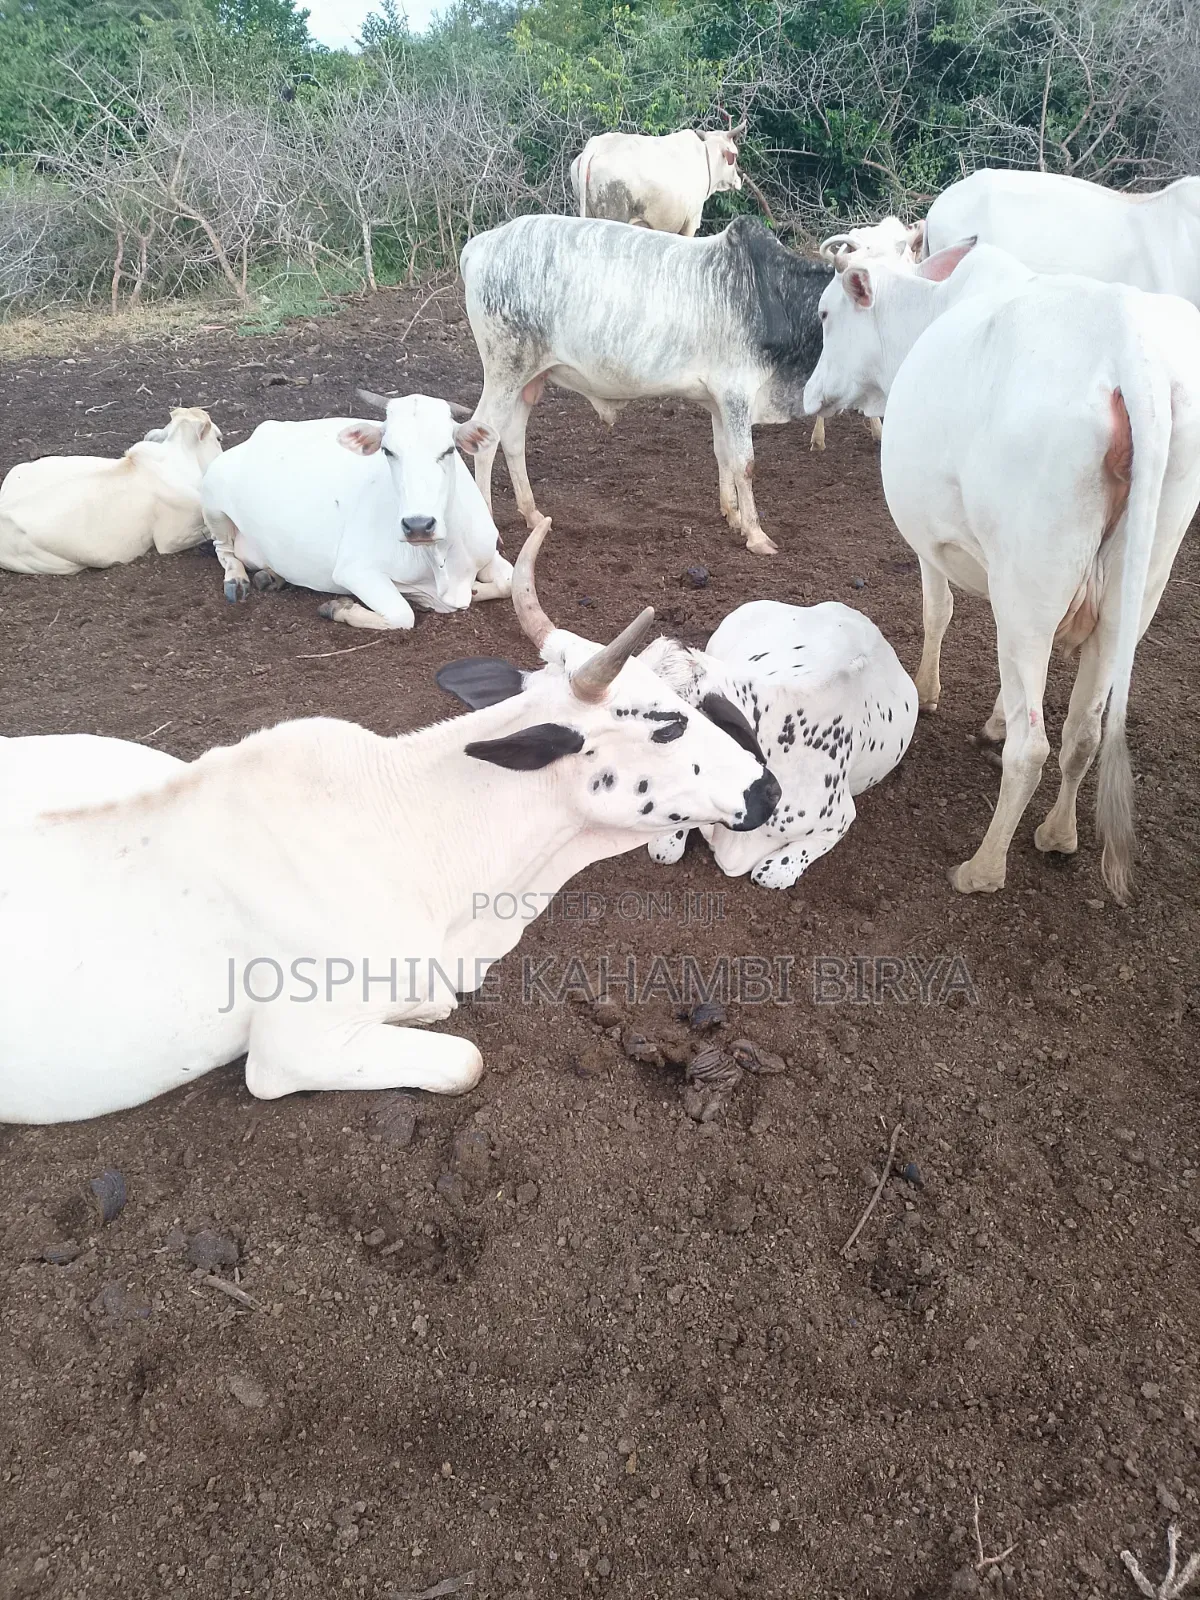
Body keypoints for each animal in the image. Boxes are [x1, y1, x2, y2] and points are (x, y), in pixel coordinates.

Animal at [202, 393, 513, 630]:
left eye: (449, 450)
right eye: (388, 451)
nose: (418, 525)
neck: (441, 558)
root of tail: (263, 431)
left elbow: (509, 583)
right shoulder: (355, 570)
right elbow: (402, 615)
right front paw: (339, 607)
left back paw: (271, 576)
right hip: (212, 499)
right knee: (223, 549)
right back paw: (237, 579)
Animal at [460, 215, 832, 555]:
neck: (773, 295)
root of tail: (481, 244)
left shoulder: (719, 401)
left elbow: (723, 454)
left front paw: (733, 515)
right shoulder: (736, 394)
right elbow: (745, 463)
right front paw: (756, 534)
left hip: (529, 378)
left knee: (513, 439)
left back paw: (533, 514)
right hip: (505, 371)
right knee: (484, 438)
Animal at [570, 124, 745, 238]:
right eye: (735, 154)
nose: (740, 178)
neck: (706, 158)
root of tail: (595, 145)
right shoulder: (690, 223)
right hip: (614, 215)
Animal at [803, 239, 1200, 901]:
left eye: (827, 315)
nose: (808, 393)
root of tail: (1127, 341)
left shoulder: (933, 543)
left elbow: (938, 612)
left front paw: (928, 692)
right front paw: (991, 713)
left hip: (1031, 585)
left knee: (1031, 749)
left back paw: (983, 868)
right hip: (1132, 590)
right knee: (1083, 730)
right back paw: (1058, 834)